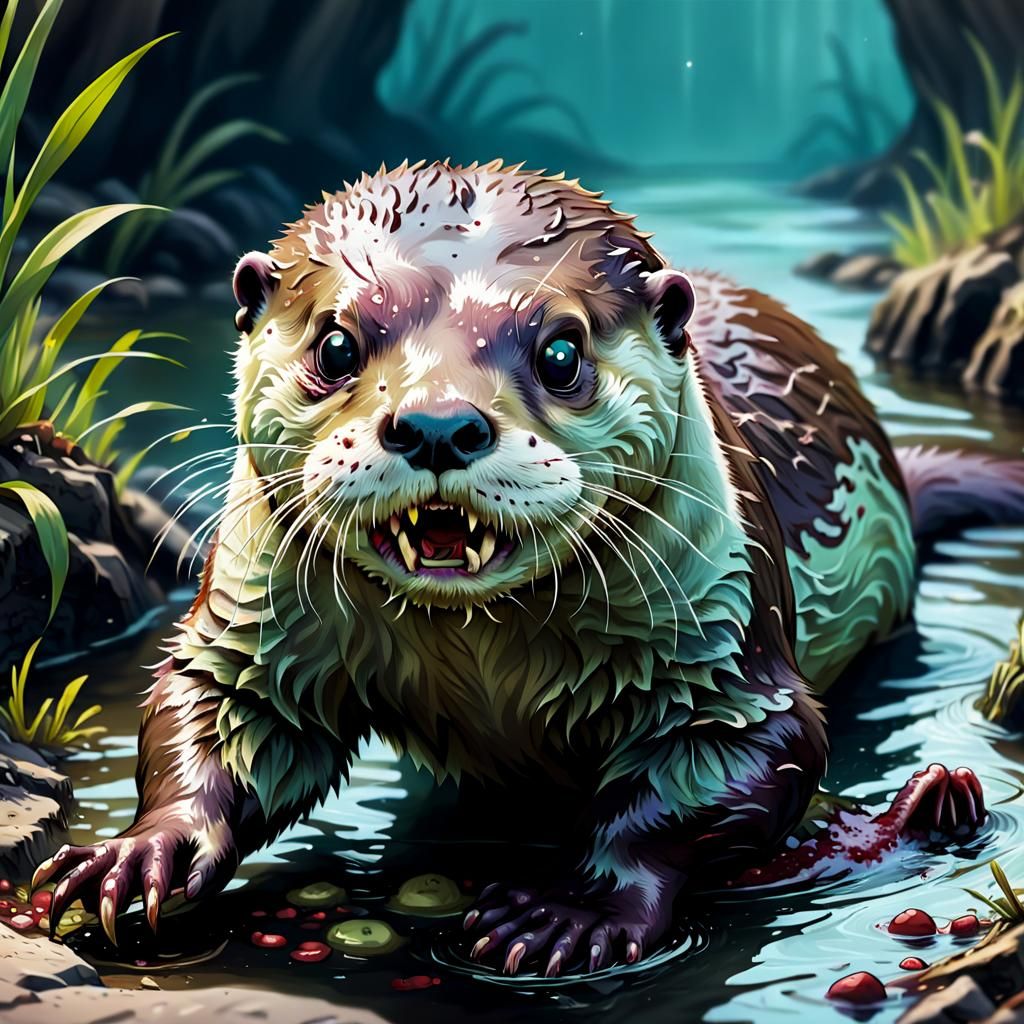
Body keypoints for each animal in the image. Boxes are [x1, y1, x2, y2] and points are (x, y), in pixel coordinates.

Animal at [34, 161, 1023, 976]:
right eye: (336, 345)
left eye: (560, 352)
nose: (437, 425)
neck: (482, 665)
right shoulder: (258, 602)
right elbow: (221, 703)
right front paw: (142, 850)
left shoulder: (725, 637)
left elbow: (726, 763)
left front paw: (573, 912)